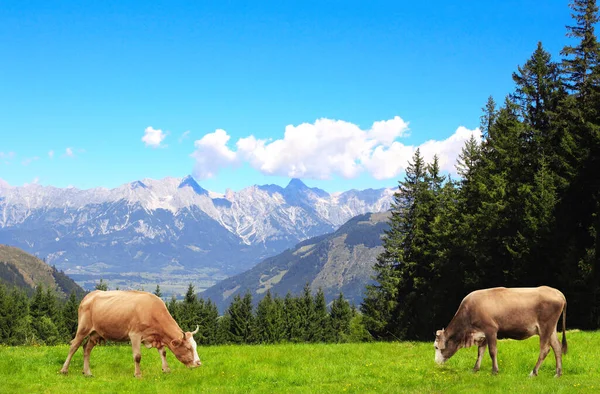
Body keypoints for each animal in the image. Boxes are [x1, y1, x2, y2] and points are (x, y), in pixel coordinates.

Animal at [59, 290, 203, 378]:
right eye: (188, 348)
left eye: (195, 346)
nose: (199, 363)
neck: (152, 311)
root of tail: (90, 295)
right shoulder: (135, 335)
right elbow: (137, 356)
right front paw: (138, 374)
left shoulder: (157, 336)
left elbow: (163, 352)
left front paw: (166, 369)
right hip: (83, 328)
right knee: (74, 346)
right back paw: (64, 370)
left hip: (95, 333)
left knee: (86, 348)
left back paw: (87, 372)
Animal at [432, 286, 568, 376]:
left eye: (436, 347)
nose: (436, 362)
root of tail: (558, 292)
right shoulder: (482, 334)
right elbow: (480, 352)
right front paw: (475, 369)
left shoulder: (491, 329)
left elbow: (492, 351)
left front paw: (494, 371)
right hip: (551, 329)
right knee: (557, 347)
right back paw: (558, 373)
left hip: (545, 327)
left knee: (545, 349)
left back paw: (533, 372)